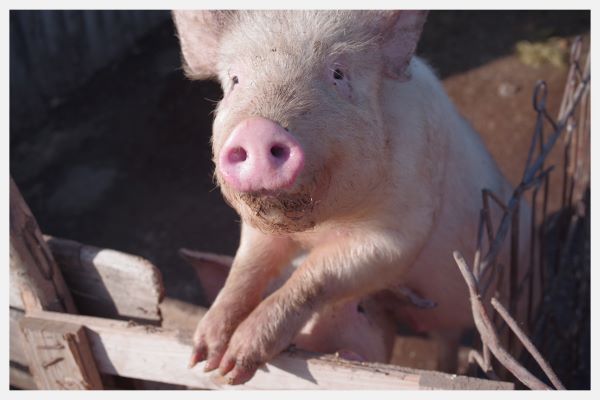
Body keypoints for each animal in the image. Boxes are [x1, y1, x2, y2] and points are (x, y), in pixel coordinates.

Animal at [171, 10, 536, 384]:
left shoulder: (399, 231)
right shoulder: (259, 229)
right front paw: (205, 358)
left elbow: (315, 277)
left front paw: (234, 364)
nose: (259, 128)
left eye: (338, 74)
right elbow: (247, 267)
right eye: (234, 80)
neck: (318, 227)